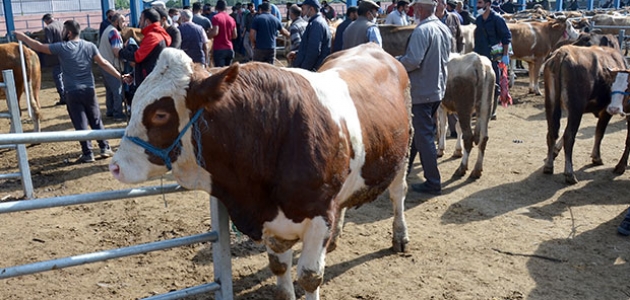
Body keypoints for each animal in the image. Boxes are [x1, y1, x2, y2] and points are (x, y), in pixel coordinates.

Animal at [108, 44, 414, 300]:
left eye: (160, 114)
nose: (116, 166)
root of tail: (372, 47)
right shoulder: (272, 221)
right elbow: (279, 269)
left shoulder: (319, 215)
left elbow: (309, 277)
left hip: (402, 155)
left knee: (398, 194)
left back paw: (400, 237)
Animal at [544, 44, 628, 185]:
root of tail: (562, 52)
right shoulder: (606, 110)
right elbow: (599, 132)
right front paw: (596, 157)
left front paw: (555, 150)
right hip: (576, 109)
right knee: (569, 136)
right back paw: (569, 174)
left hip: (551, 104)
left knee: (552, 132)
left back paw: (549, 166)